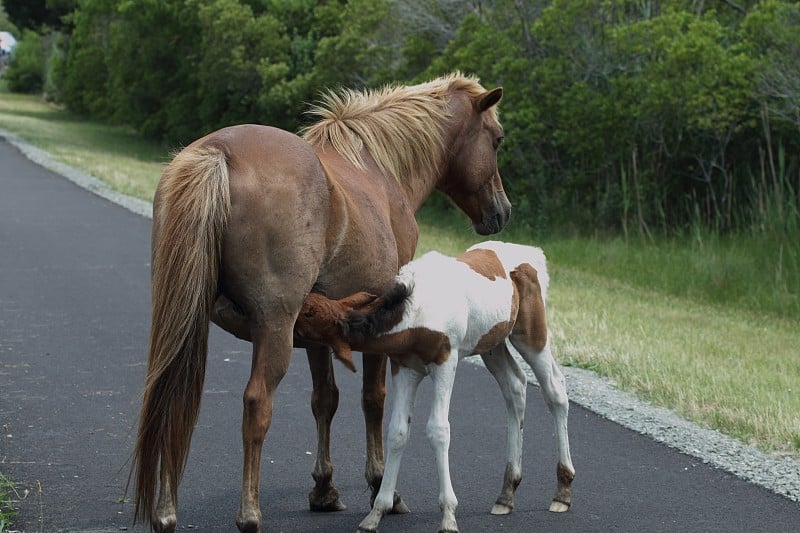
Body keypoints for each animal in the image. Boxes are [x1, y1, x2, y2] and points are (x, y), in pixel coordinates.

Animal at [296, 242, 572, 532]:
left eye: (309, 314)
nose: (287, 324)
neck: (415, 312)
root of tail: (533, 253)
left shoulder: (445, 364)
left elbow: (438, 430)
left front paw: (448, 516)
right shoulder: (405, 369)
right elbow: (397, 432)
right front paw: (376, 513)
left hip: (530, 335)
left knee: (555, 390)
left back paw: (562, 492)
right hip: (492, 345)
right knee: (515, 386)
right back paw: (506, 495)